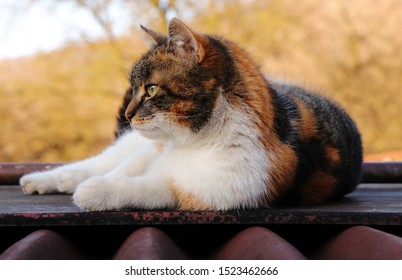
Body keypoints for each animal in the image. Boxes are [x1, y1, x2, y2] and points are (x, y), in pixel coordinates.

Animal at [20, 18, 362, 210]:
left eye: (151, 89)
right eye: (134, 88)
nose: (129, 114)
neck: (197, 141)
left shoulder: (208, 191)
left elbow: (150, 188)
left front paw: (95, 191)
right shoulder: (154, 148)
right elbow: (123, 169)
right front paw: (91, 181)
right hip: (136, 144)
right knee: (102, 161)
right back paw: (46, 179)